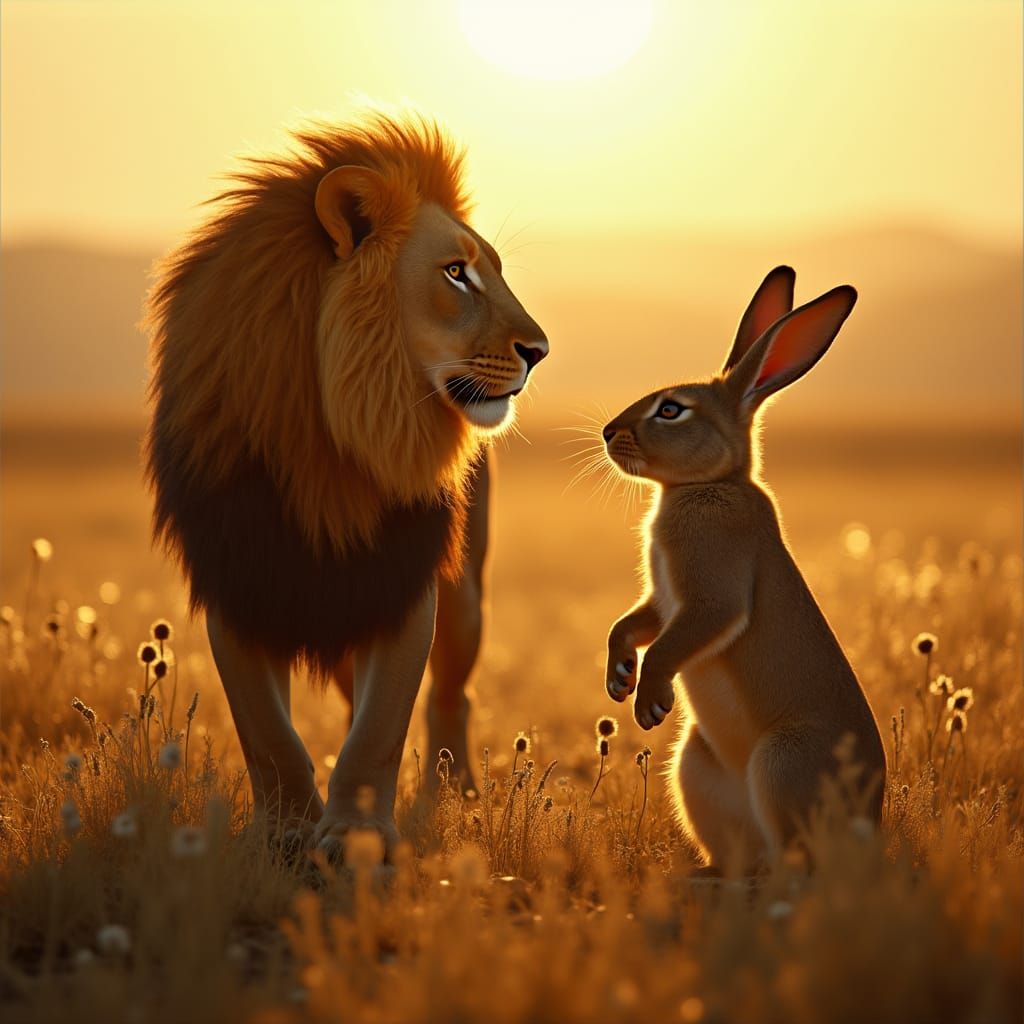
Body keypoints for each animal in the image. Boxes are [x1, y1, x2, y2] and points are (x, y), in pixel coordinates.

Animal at [144, 112, 548, 851]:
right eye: (457, 274)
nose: (540, 352)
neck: (325, 437)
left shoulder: (403, 578)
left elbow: (379, 728)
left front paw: (358, 837)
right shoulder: (235, 579)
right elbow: (267, 733)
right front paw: (283, 833)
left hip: (465, 599)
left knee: (452, 694)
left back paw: (455, 791)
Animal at [601, 266, 886, 871]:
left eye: (671, 410)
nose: (609, 433)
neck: (710, 482)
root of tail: (868, 821)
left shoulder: (712, 595)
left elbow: (677, 639)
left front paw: (649, 703)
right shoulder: (665, 601)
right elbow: (629, 625)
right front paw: (619, 679)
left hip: (783, 762)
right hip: (695, 765)